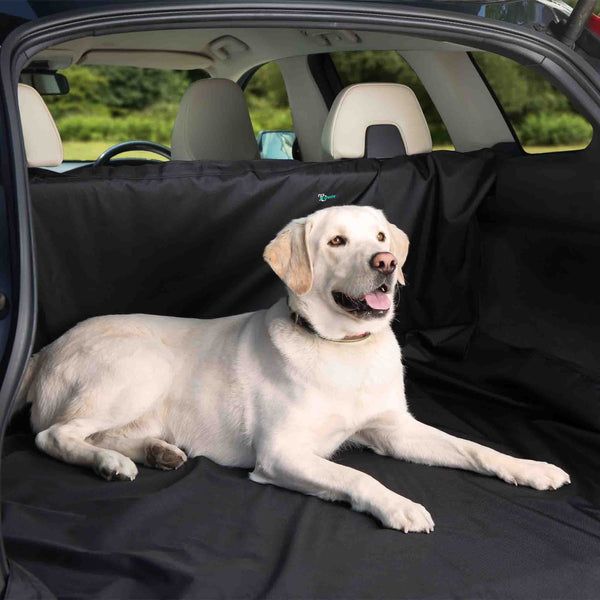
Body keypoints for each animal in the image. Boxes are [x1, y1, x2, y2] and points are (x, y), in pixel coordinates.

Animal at [19, 205, 572, 528]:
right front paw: (399, 505)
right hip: (141, 368)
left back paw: (156, 452)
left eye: (380, 236)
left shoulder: (395, 430)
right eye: (336, 242)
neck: (345, 351)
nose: (387, 263)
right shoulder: (282, 454)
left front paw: (529, 467)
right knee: (54, 435)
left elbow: (473, 448)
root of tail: (44, 350)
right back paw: (111, 463)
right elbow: (356, 477)